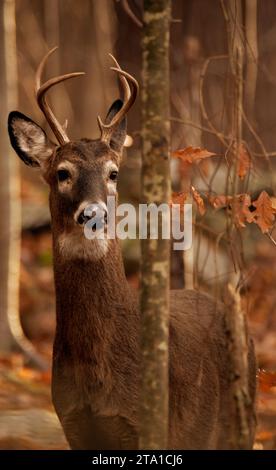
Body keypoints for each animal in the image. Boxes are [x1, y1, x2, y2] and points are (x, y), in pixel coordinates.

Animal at [7, 48, 256, 452]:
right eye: (62, 173)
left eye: (113, 173)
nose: (93, 213)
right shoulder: (73, 423)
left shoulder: (152, 425)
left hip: (240, 418)